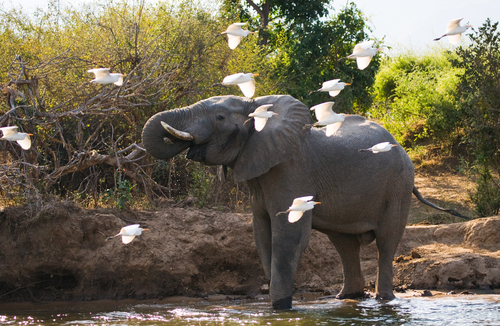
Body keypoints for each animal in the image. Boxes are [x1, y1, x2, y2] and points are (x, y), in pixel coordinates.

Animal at [143, 95, 466, 310]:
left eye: (220, 118)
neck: (257, 106)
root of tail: (399, 145)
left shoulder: (291, 170)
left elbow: (288, 234)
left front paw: (281, 307)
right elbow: (262, 234)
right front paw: (277, 305)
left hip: (398, 185)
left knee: (386, 240)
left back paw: (383, 299)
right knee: (344, 244)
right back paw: (347, 298)